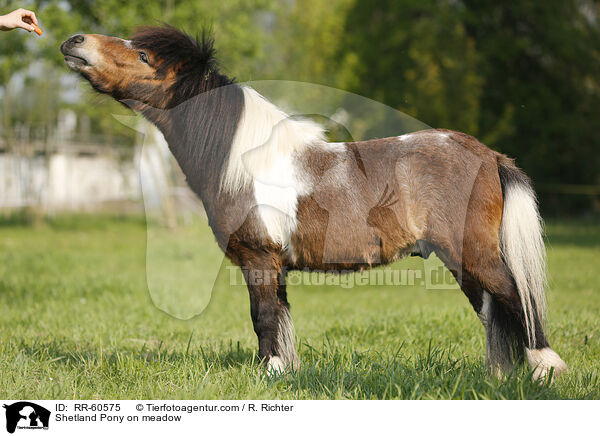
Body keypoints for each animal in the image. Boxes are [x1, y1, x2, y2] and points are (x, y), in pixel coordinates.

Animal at [61, 26, 568, 378]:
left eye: (143, 55)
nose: (75, 42)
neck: (244, 160)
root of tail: (489, 155)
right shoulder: (274, 263)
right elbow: (279, 320)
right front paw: (282, 372)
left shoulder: (259, 259)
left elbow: (264, 318)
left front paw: (269, 374)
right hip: (460, 261)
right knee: (494, 310)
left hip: (474, 253)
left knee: (514, 298)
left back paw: (545, 370)